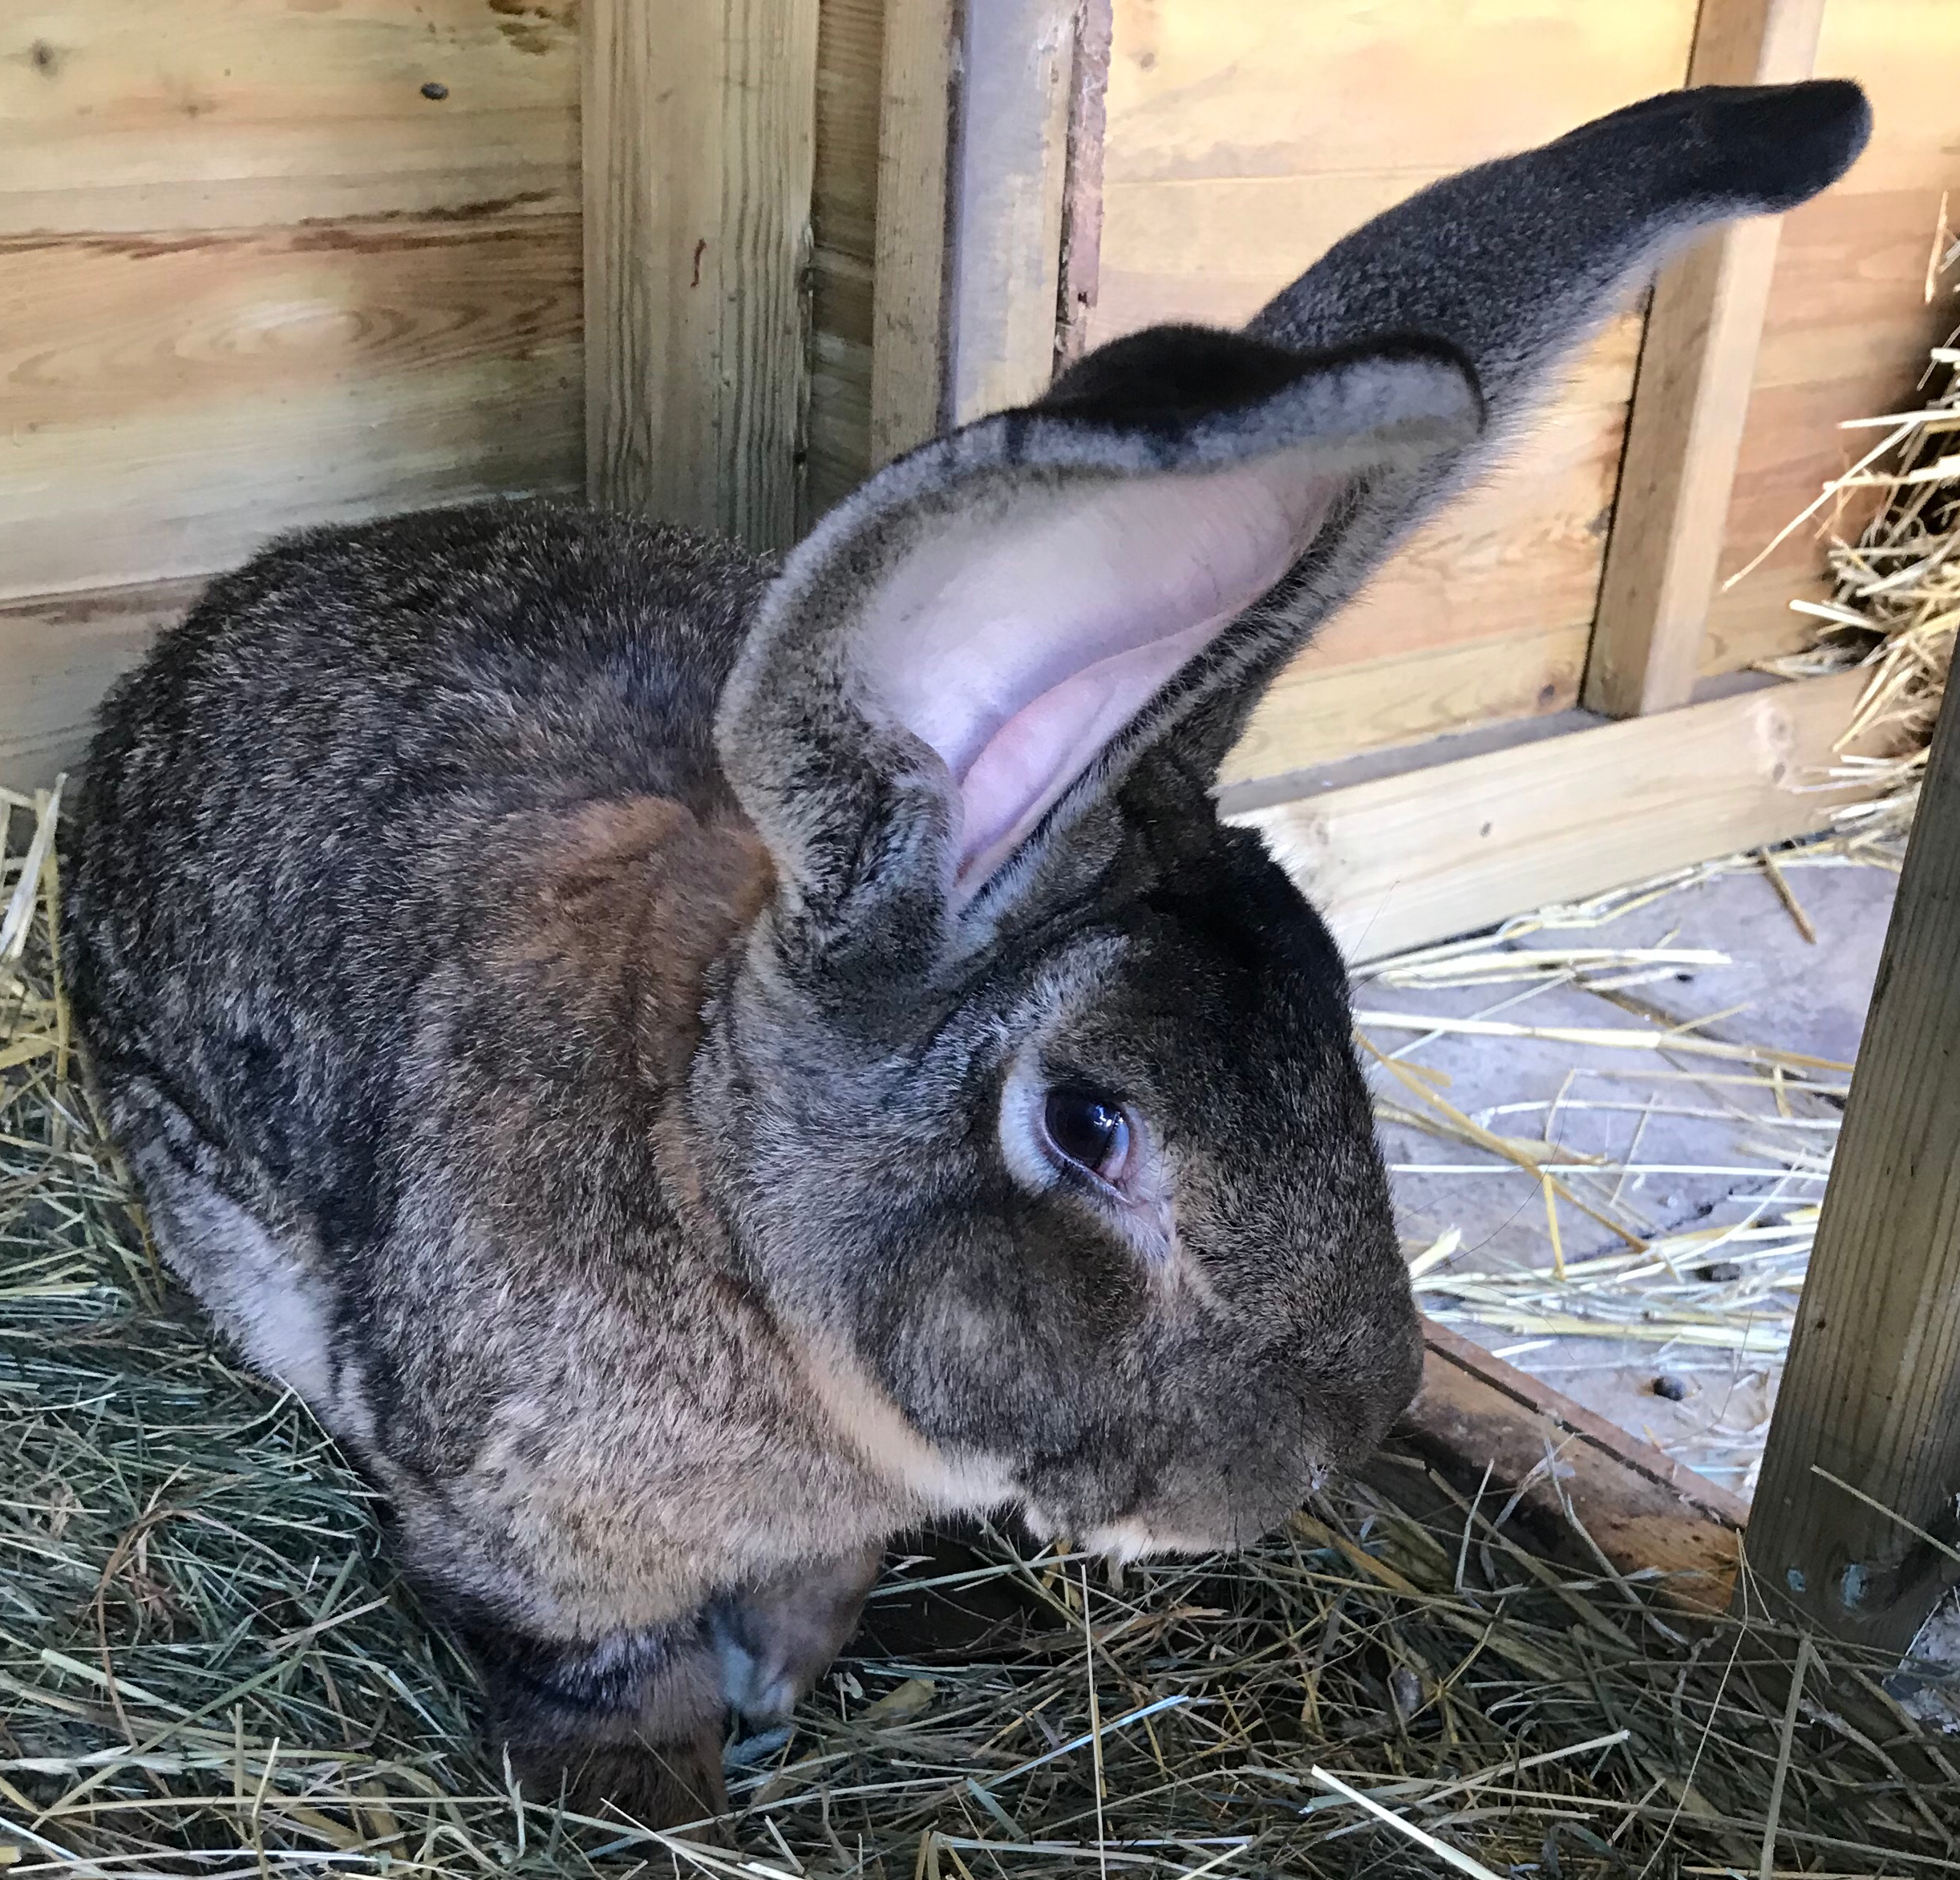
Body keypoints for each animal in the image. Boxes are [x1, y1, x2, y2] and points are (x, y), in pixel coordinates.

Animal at [61, 80, 1865, 1827]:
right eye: (1088, 1122)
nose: (1319, 1450)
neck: (713, 1202)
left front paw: (778, 1688)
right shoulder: (523, 1536)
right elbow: (591, 1665)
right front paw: (660, 1788)